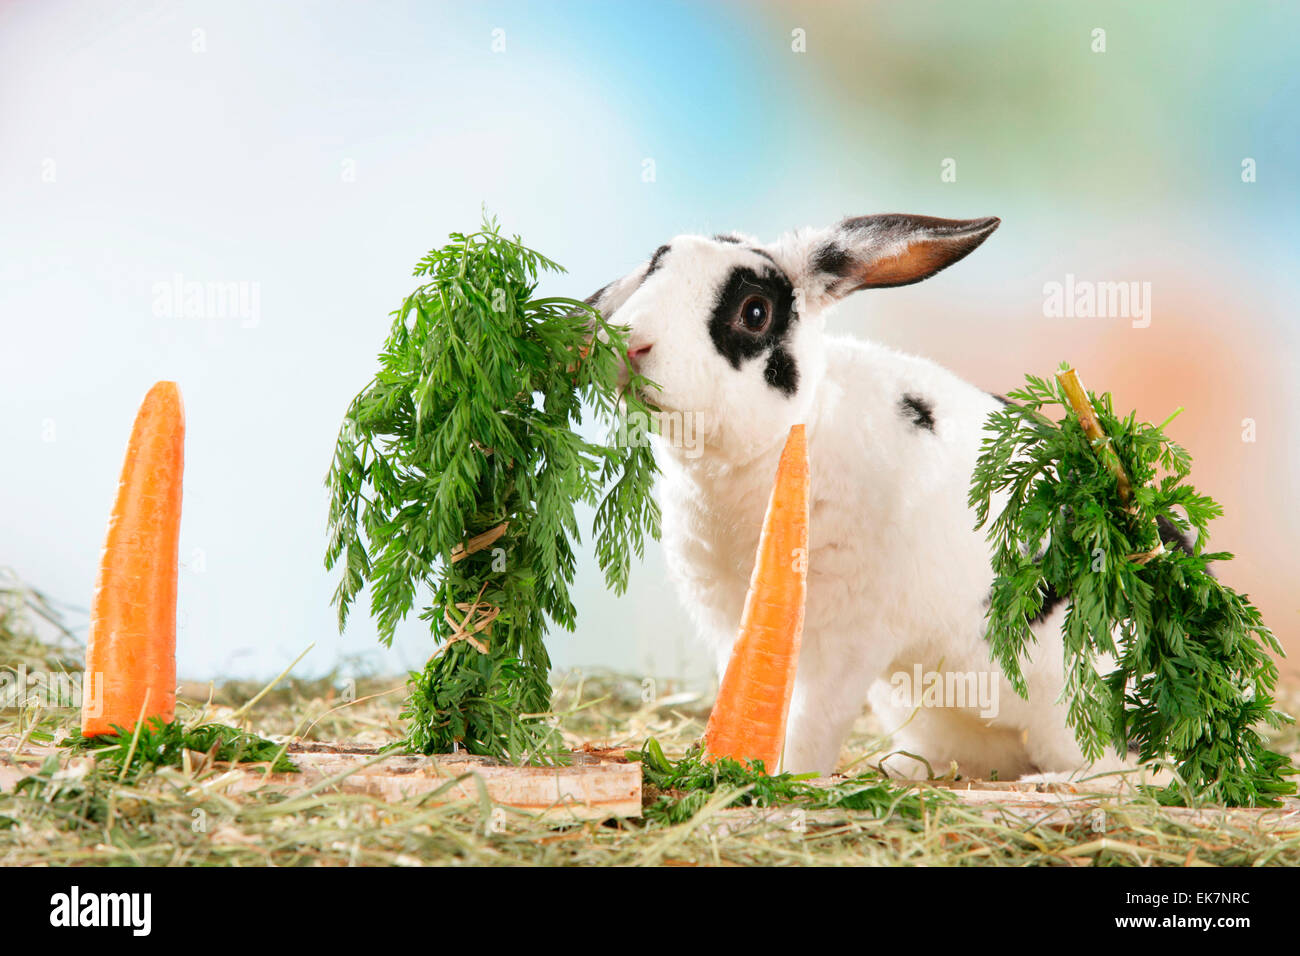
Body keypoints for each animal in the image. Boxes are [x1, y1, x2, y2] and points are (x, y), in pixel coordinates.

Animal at [587, 213, 1141, 781]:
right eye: (659, 262)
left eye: (755, 311)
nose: (629, 343)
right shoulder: (728, 623)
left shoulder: (847, 645)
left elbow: (809, 724)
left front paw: (788, 777)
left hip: (1076, 711)